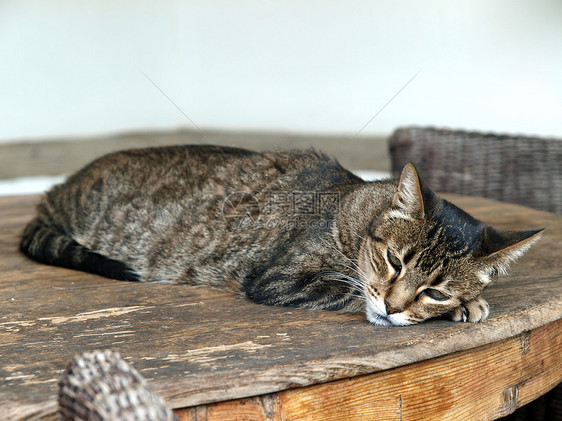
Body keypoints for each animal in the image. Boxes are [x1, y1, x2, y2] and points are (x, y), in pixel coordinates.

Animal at [19, 144, 540, 324]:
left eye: (435, 289)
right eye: (394, 261)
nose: (394, 307)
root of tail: (53, 192)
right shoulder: (278, 279)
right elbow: (351, 292)